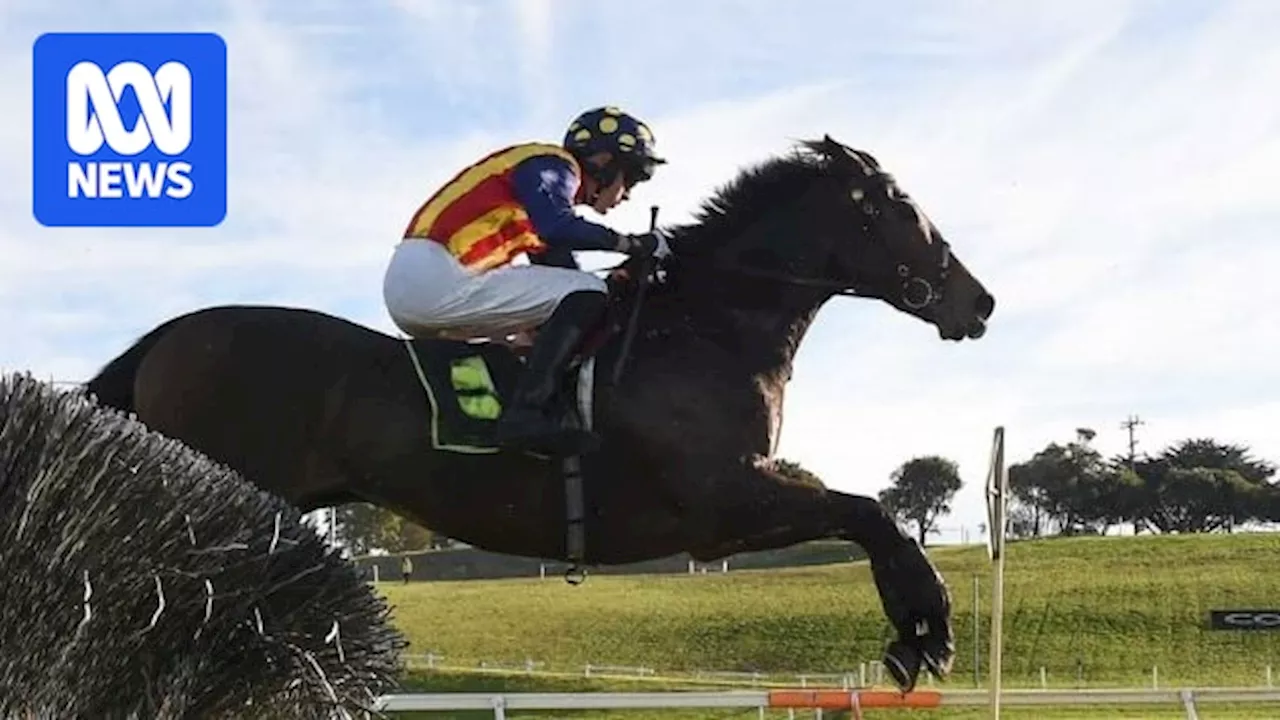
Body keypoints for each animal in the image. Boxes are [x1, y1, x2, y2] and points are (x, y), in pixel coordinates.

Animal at [85, 134, 993, 691]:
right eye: (904, 210)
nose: (978, 301)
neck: (703, 330)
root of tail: (171, 334)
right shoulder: (722, 503)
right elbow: (873, 513)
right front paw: (924, 632)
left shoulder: (729, 507)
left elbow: (867, 515)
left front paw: (919, 633)